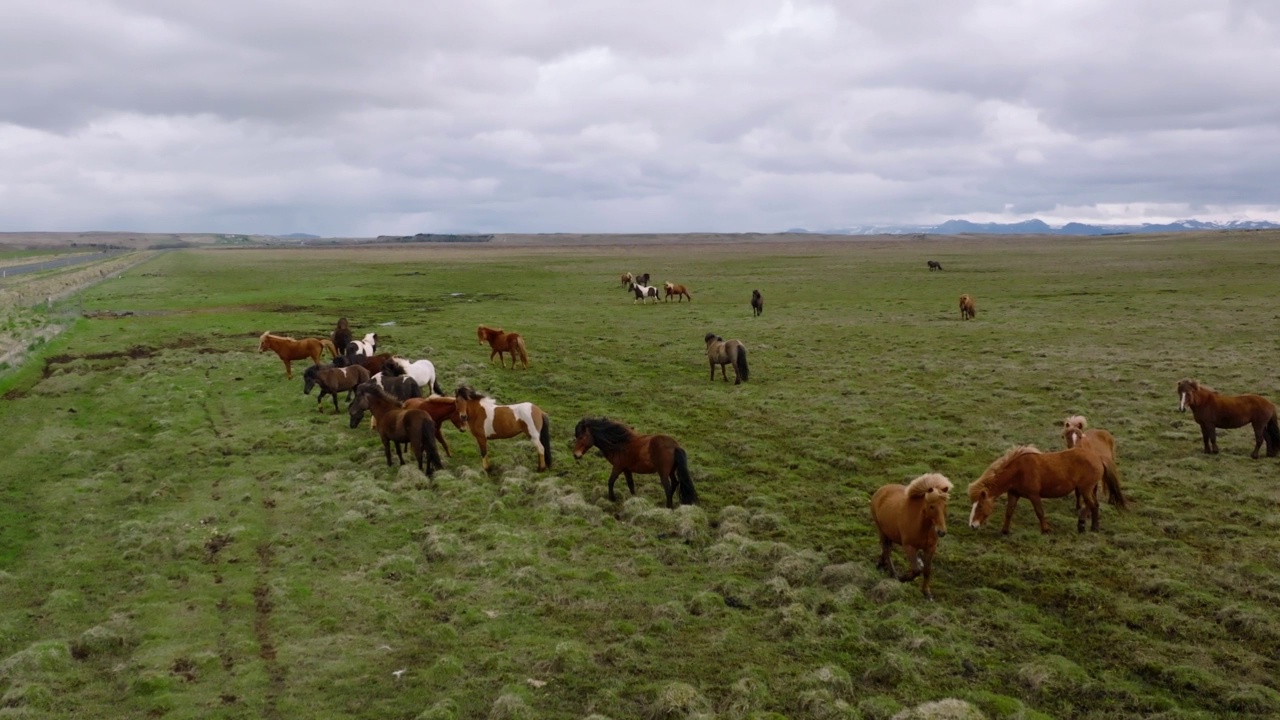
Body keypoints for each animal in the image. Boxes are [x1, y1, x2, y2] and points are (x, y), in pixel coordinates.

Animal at [962, 440, 1126, 535]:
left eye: (980, 506)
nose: (972, 525)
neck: (1019, 471)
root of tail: (1097, 457)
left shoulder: (1034, 495)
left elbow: (1039, 512)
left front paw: (1045, 529)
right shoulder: (1013, 494)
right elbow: (1009, 512)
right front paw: (1004, 531)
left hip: (1085, 489)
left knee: (1092, 505)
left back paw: (1089, 527)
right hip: (1089, 489)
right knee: (1094, 505)